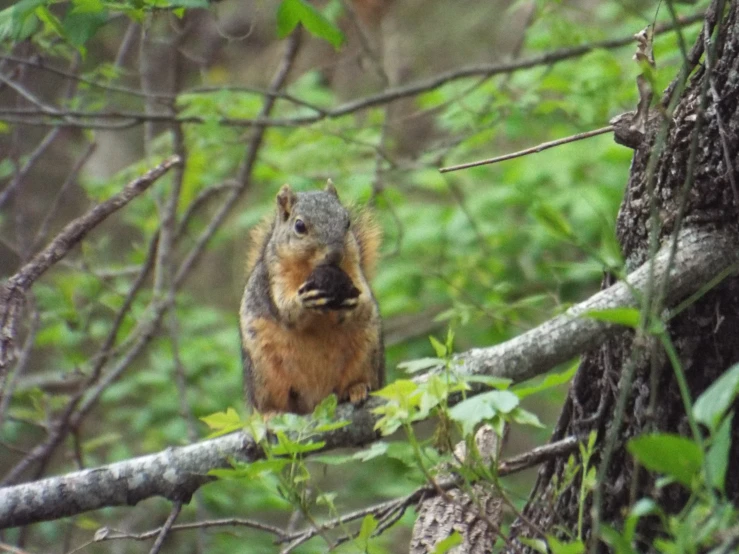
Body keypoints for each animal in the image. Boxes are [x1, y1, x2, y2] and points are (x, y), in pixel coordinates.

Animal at [238, 179, 388, 412]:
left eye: (347, 221)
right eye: (299, 226)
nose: (335, 254)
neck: (311, 266)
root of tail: (317, 400)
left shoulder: (354, 270)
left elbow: (365, 300)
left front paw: (354, 302)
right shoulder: (274, 275)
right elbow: (286, 310)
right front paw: (303, 301)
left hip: (366, 355)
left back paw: (357, 388)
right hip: (263, 374)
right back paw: (270, 413)